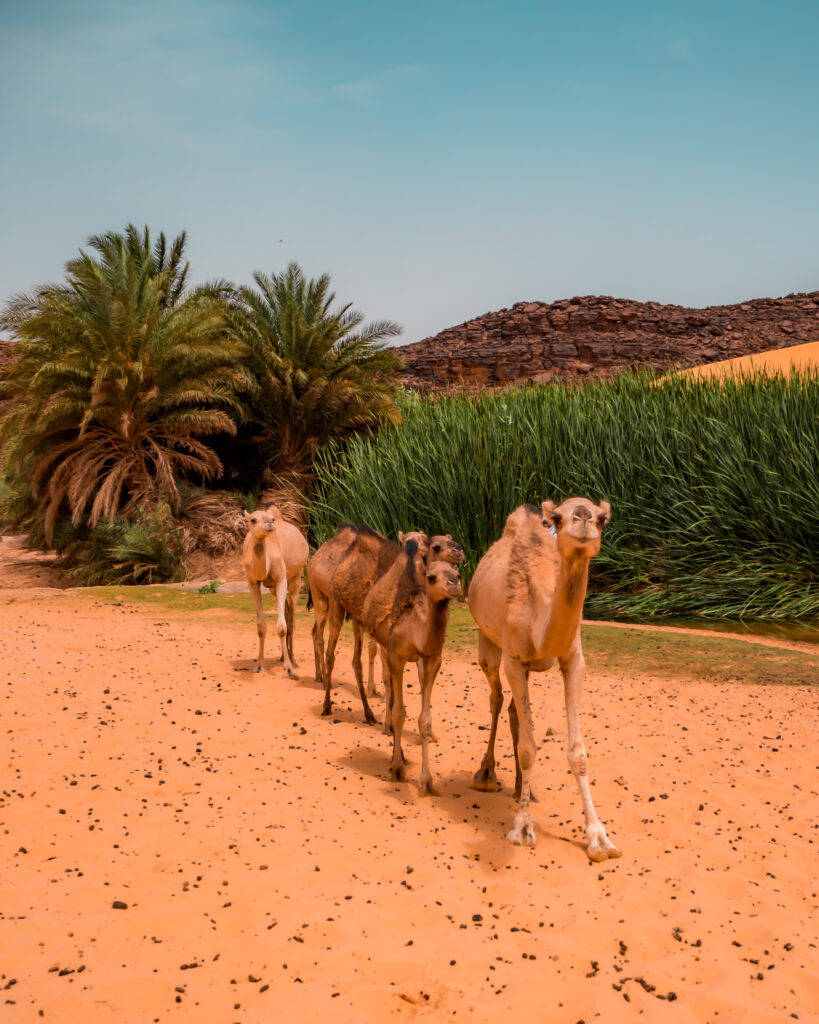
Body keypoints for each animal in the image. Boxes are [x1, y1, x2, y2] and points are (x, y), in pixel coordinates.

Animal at [243, 505, 311, 679]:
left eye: (271, 519)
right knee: (286, 612)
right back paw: (282, 656)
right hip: (272, 588)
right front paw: (259, 666)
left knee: (291, 617)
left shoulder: (281, 579)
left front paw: (288, 669)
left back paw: (293, 659)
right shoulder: (252, 582)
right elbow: (261, 627)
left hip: (296, 577)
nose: (269, 524)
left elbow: (281, 627)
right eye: (252, 519)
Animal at [362, 548, 460, 794]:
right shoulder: (397, 656)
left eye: (458, 574)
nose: (455, 585)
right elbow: (400, 713)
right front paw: (397, 769)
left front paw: (426, 780)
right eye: (432, 577)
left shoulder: (432, 660)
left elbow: (424, 719)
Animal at [464, 499, 618, 860]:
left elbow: (577, 753)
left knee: (513, 712)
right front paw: (522, 828)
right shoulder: (513, 660)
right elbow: (527, 748)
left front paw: (598, 837)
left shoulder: (573, 659)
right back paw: (486, 774)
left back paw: (524, 789)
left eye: (603, 518)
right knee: (496, 700)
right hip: (488, 644)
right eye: (558, 518)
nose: (583, 518)